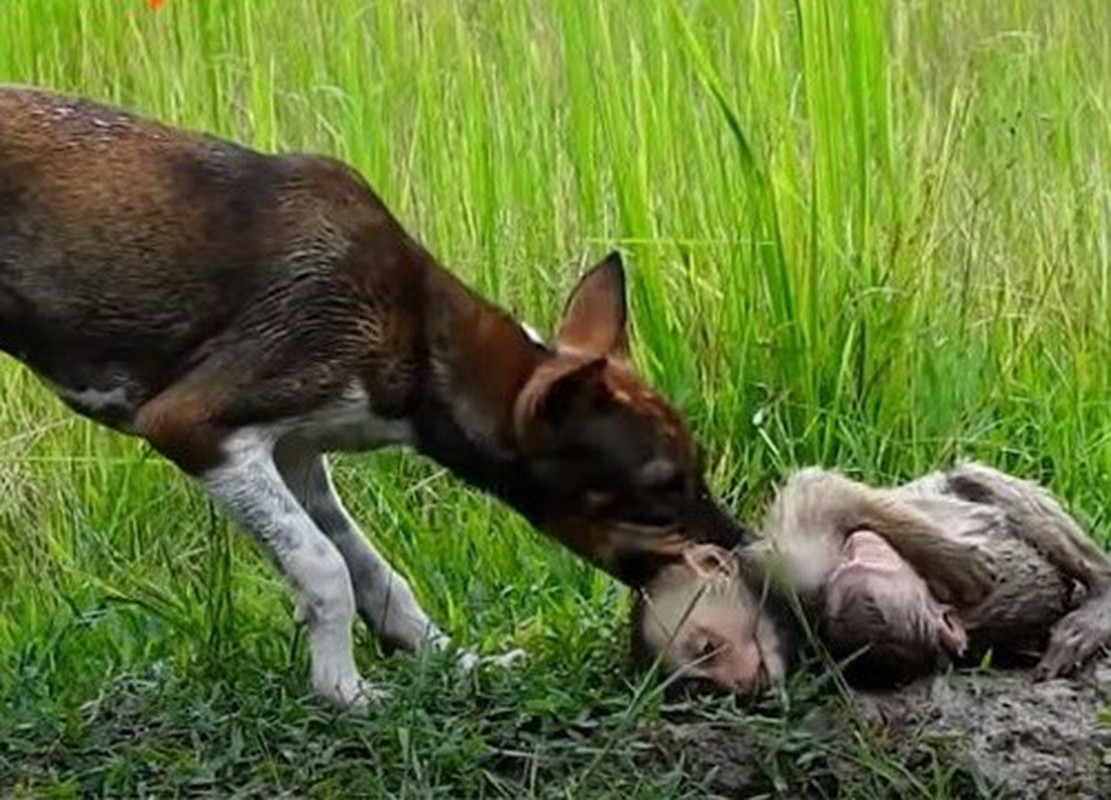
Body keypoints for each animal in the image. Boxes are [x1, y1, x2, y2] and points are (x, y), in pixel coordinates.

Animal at [0, 87, 751, 706]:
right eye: (659, 491)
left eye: (699, 469)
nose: (747, 551)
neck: (419, 338)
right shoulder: (196, 426)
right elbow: (324, 568)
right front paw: (344, 690)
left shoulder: (298, 455)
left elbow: (375, 575)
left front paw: (456, 664)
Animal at [635, 462, 1111, 693]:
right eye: (702, 686)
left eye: (708, 648)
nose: (737, 684)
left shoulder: (789, 558)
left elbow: (822, 491)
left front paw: (954, 560)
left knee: (969, 479)